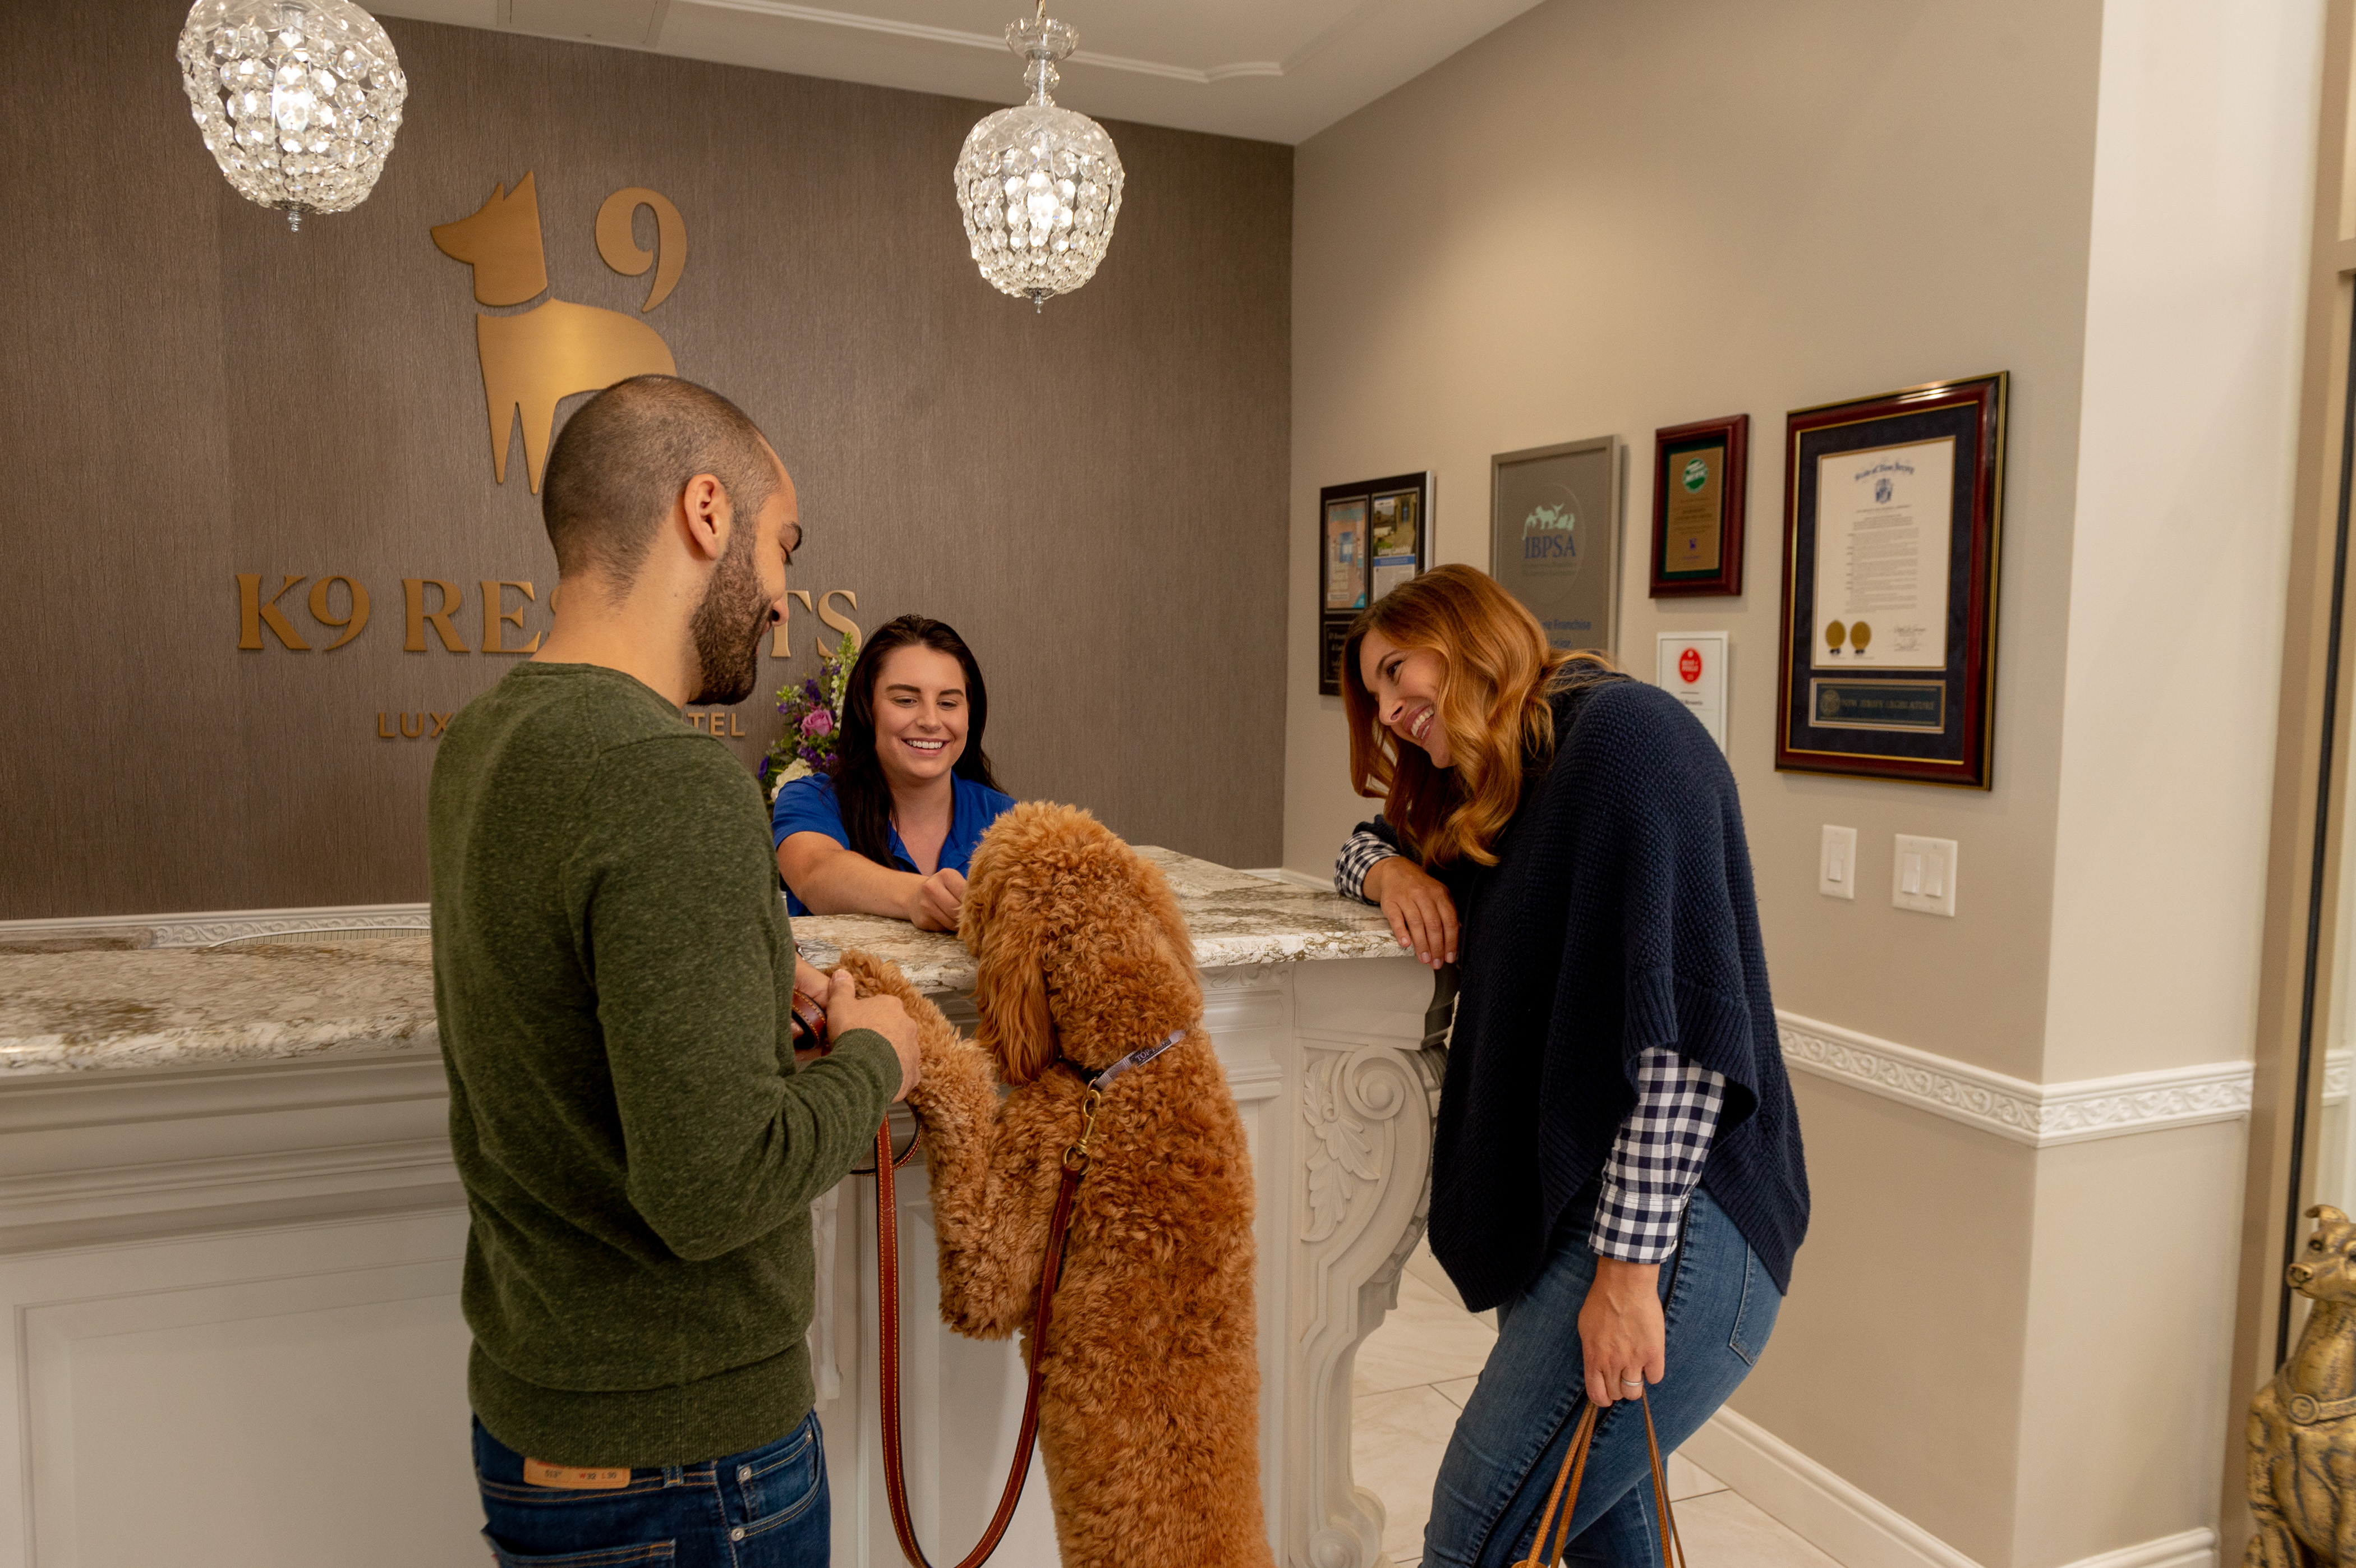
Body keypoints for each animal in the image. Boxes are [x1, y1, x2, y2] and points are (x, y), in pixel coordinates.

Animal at [843, 806, 1272, 1565]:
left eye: (980, 867)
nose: (950, 894)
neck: (1134, 1052)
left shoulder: (1009, 1235)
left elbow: (961, 1083)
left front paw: (881, 991)